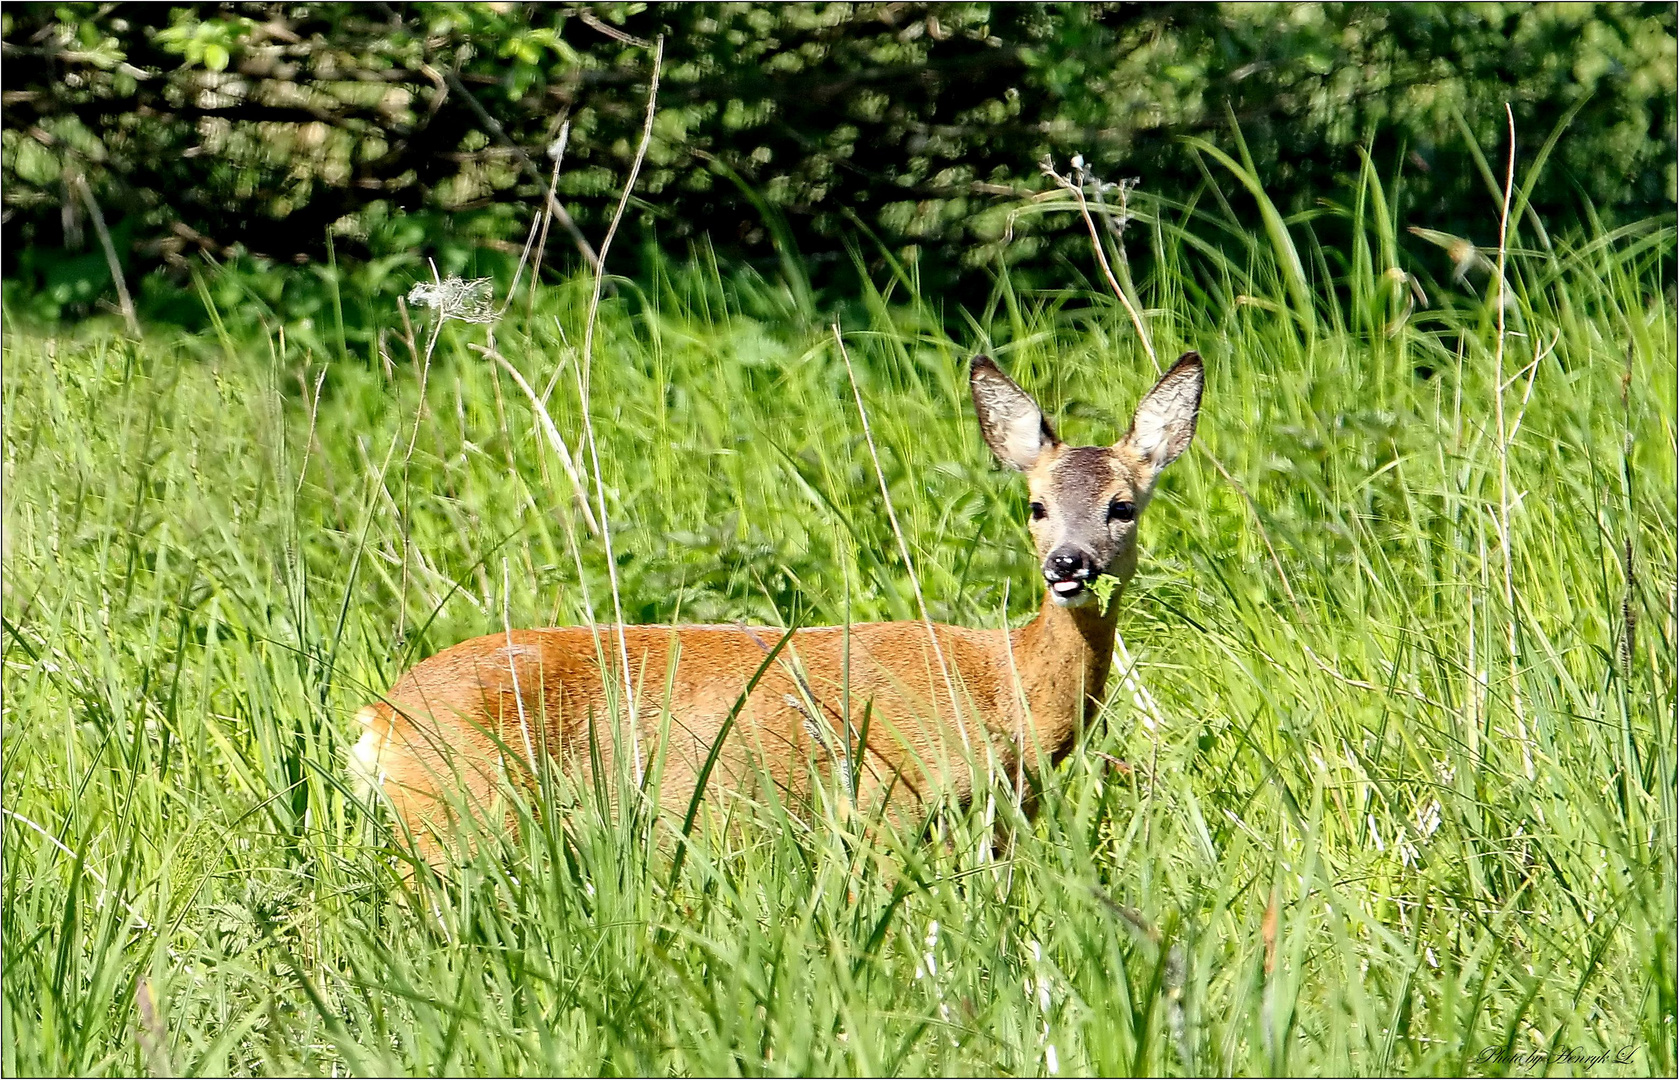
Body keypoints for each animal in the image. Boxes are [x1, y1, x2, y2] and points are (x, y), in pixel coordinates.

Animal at [350, 352, 1208, 859]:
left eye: (1122, 506)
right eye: (1034, 505)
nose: (1069, 565)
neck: (1005, 691)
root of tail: (377, 717)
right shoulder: (886, 805)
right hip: (453, 816)